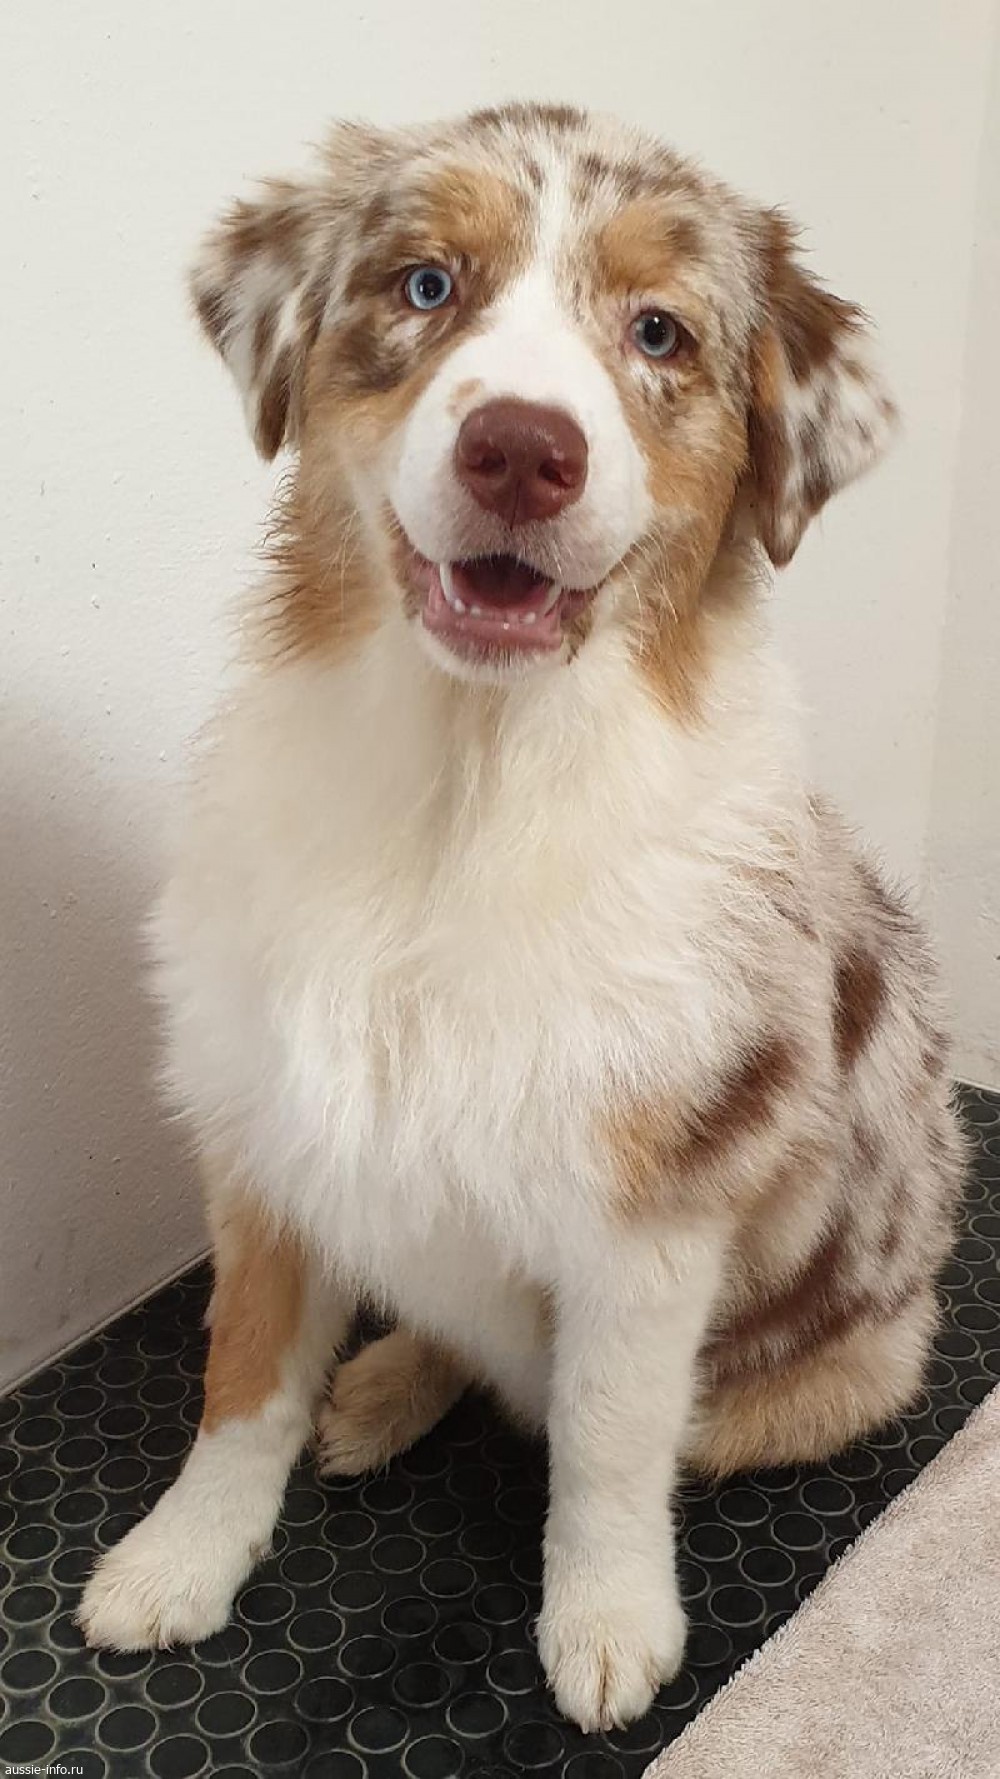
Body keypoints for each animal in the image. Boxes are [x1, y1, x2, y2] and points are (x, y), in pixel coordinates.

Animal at [79, 102, 963, 1732]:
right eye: (427, 285)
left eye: (660, 331)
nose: (522, 450)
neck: (464, 793)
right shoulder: (262, 1128)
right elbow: (242, 1378)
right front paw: (179, 1559)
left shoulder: (654, 1215)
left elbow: (605, 1445)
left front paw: (605, 1623)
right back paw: (378, 1389)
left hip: (848, 1368)